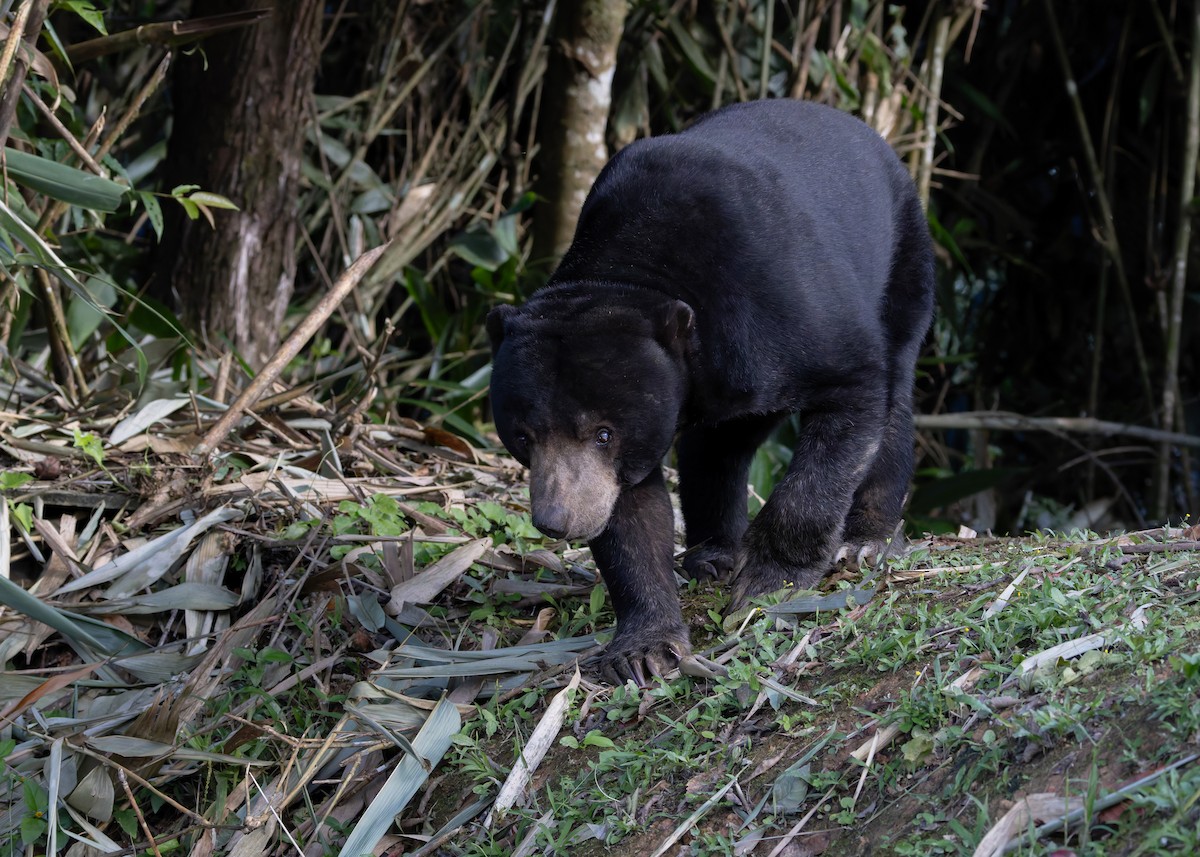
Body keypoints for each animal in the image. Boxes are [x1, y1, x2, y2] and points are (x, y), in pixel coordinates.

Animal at [487, 99, 934, 684]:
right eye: (524, 436)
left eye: (602, 432)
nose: (555, 520)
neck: (637, 276)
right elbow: (630, 510)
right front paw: (645, 649)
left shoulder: (788, 305)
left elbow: (850, 399)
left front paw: (770, 584)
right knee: (719, 444)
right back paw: (712, 556)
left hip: (906, 257)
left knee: (894, 389)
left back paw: (866, 541)